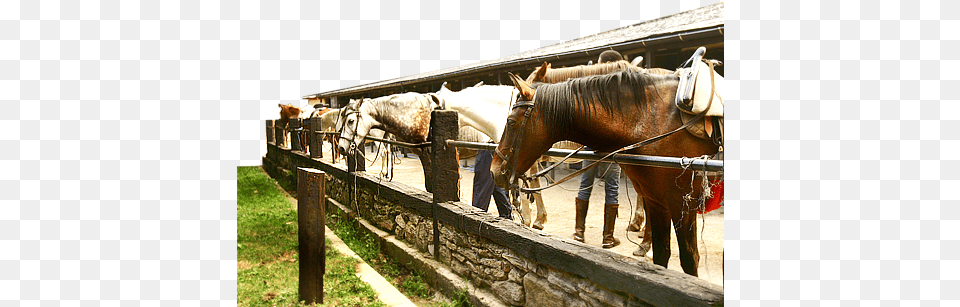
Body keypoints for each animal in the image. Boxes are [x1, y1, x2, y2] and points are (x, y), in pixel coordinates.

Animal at [496, 70, 720, 276]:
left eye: (511, 122)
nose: (495, 169)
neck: (653, 121)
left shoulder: (682, 203)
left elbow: (690, 258)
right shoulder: (657, 201)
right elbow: (661, 254)